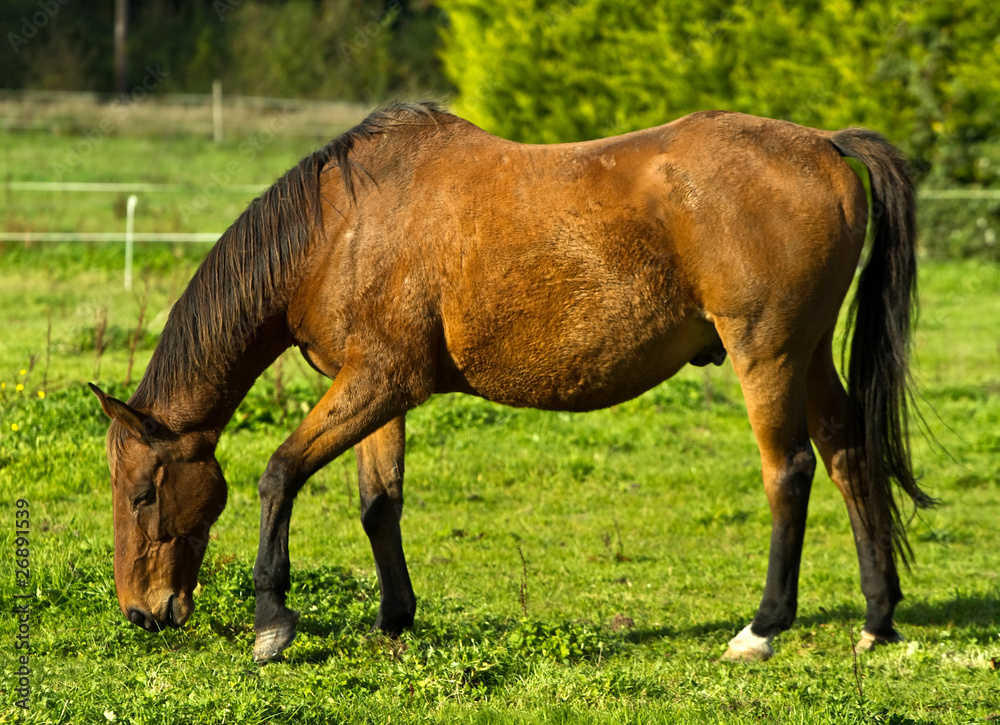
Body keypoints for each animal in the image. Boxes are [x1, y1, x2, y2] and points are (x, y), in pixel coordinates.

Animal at [90, 102, 932, 660]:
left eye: (141, 493)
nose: (140, 611)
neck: (340, 229)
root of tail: (823, 144)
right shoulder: (377, 392)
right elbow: (378, 505)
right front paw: (395, 619)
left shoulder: (380, 381)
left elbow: (279, 473)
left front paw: (272, 618)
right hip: (807, 355)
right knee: (849, 455)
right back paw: (877, 615)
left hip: (768, 353)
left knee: (789, 473)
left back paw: (762, 627)